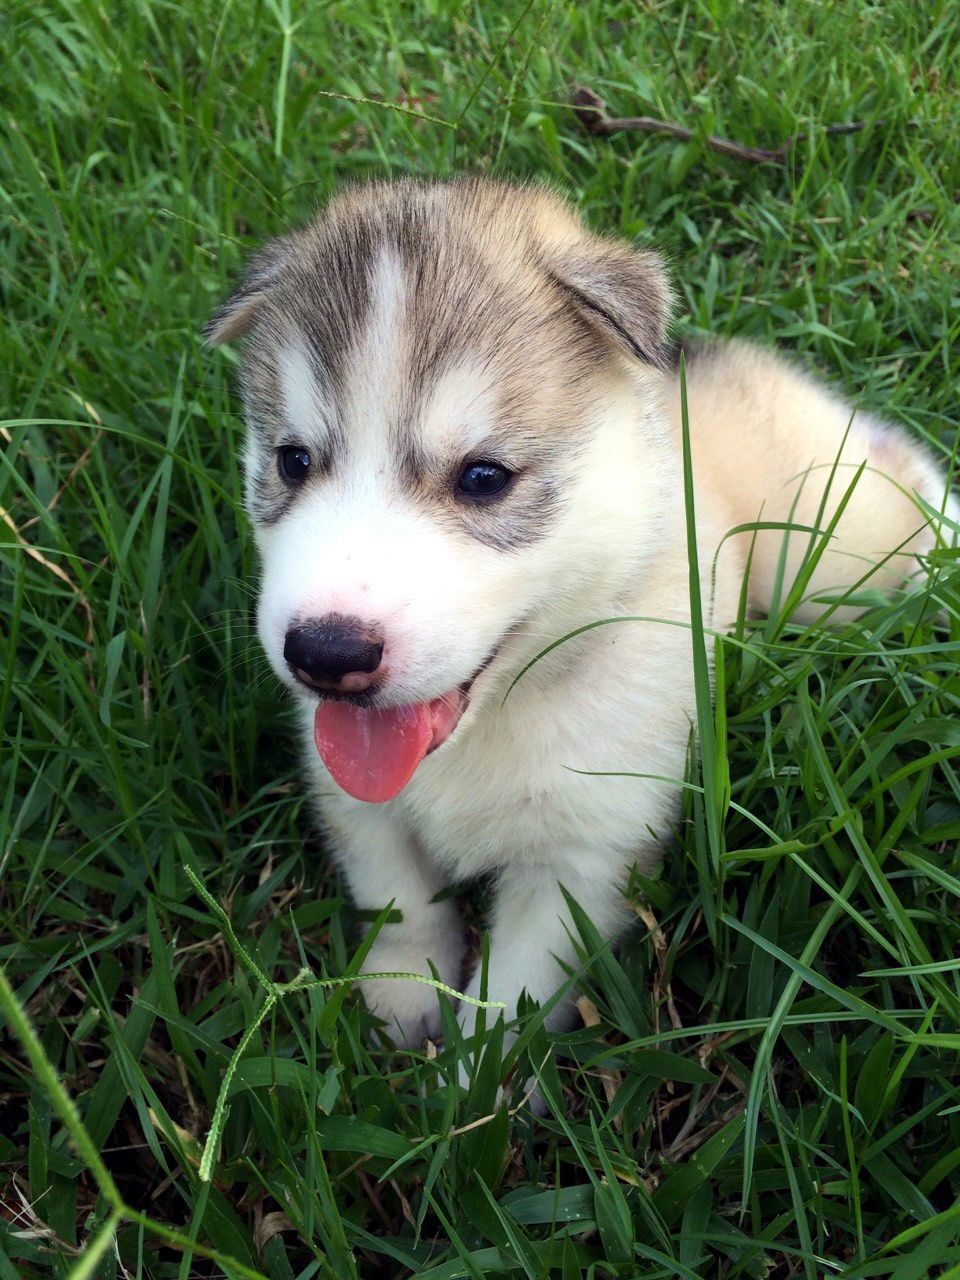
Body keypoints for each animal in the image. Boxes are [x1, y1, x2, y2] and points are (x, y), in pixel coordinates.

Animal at [207, 177, 957, 1049]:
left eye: (484, 477)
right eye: (293, 462)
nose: (326, 653)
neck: (499, 719)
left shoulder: (583, 859)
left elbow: (513, 999)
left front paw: (474, 1080)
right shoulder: (359, 802)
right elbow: (397, 895)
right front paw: (405, 992)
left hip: (836, 557)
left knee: (899, 477)